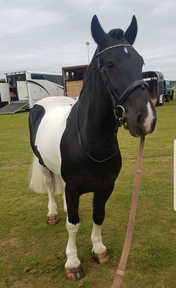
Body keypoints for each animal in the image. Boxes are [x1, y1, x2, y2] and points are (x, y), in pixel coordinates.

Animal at [28, 14, 157, 280]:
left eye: (140, 62)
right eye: (110, 64)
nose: (146, 119)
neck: (91, 142)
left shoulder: (106, 186)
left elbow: (98, 215)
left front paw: (98, 249)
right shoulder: (75, 187)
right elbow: (73, 225)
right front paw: (73, 262)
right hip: (44, 165)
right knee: (50, 186)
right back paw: (53, 213)